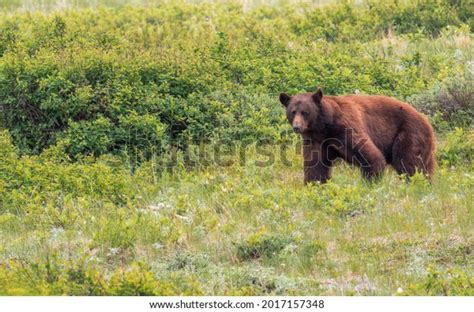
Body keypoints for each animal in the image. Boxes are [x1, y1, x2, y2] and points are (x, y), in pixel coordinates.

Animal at [278, 88, 436, 184]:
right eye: (292, 112)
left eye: (305, 112)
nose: (297, 127)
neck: (325, 126)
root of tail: (428, 122)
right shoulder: (316, 140)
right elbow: (315, 166)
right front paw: (314, 185)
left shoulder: (347, 128)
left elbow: (371, 156)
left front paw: (371, 183)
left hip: (409, 134)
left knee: (408, 163)